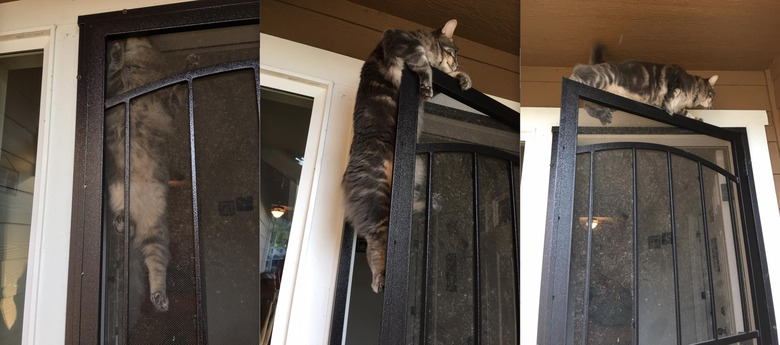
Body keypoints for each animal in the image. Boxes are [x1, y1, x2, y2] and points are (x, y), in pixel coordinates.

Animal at [104, 37, 174, 312]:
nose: (119, 41)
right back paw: (122, 222)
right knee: (126, 230)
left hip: (156, 236)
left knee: (157, 268)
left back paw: (159, 297)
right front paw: (116, 53)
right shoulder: (114, 90)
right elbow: (113, 70)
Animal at [344, 20, 472, 292]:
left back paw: (433, 202)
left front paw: (463, 77)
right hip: (378, 200)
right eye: (453, 51)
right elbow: (424, 63)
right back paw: (379, 281)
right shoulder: (399, 39)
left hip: (417, 170)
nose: (455, 62)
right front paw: (431, 80)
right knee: (374, 245)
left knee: (413, 206)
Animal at [568, 43, 720, 123]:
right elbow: (668, 98)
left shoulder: (680, 108)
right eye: (712, 94)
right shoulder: (674, 82)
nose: (712, 103)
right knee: (578, 73)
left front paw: (698, 118)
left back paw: (603, 116)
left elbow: (688, 114)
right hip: (603, 76)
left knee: (588, 106)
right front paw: (668, 109)